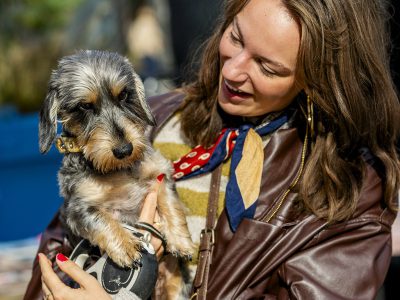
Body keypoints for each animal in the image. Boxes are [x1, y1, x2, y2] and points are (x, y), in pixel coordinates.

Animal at [38, 49, 194, 296]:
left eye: (123, 95)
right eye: (84, 106)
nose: (124, 150)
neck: (117, 169)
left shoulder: (161, 173)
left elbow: (170, 203)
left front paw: (181, 240)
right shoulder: (78, 209)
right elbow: (103, 220)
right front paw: (126, 246)